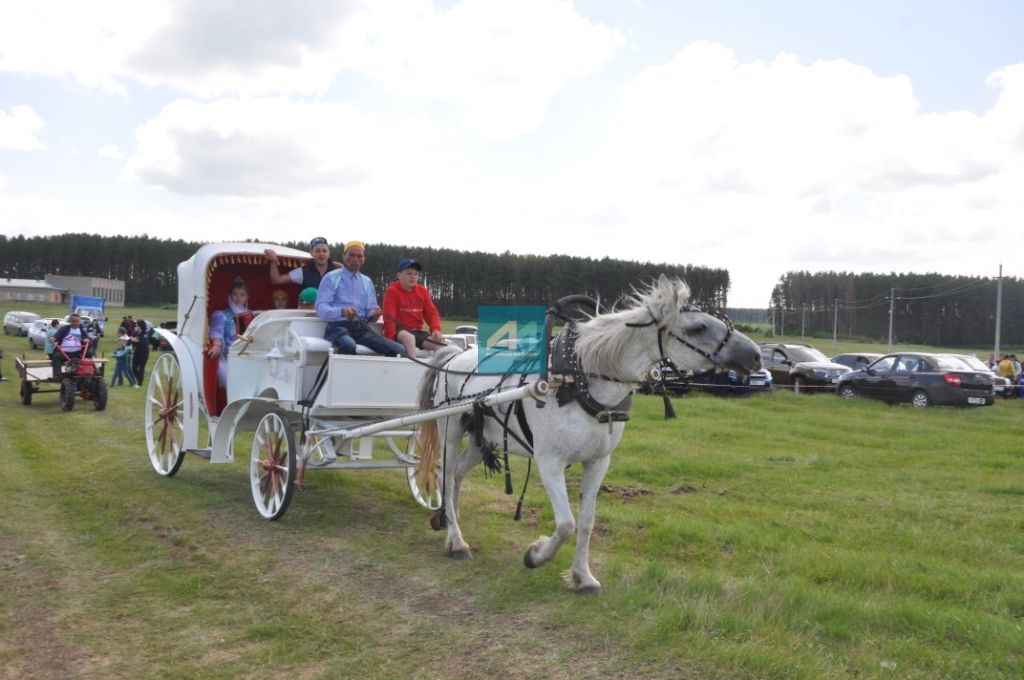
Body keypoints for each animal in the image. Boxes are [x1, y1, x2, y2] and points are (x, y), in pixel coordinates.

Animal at [415, 274, 761, 593]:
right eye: (698, 328)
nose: (755, 355)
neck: (579, 382)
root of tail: (454, 355)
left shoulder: (598, 462)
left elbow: (585, 522)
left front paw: (583, 576)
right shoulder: (549, 462)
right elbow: (566, 523)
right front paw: (536, 555)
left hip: (481, 439)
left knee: (457, 475)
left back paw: (450, 520)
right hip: (450, 430)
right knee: (445, 475)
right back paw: (456, 540)